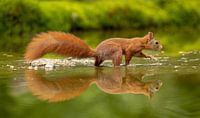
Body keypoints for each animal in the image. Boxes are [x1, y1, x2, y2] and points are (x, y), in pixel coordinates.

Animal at [25, 31, 162, 66]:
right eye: (156, 42)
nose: (162, 47)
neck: (141, 42)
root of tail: (97, 52)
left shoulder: (138, 52)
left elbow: (142, 55)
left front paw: (151, 57)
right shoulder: (130, 49)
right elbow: (128, 56)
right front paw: (127, 64)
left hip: (101, 59)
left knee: (96, 64)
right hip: (116, 51)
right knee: (115, 64)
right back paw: (120, 65)